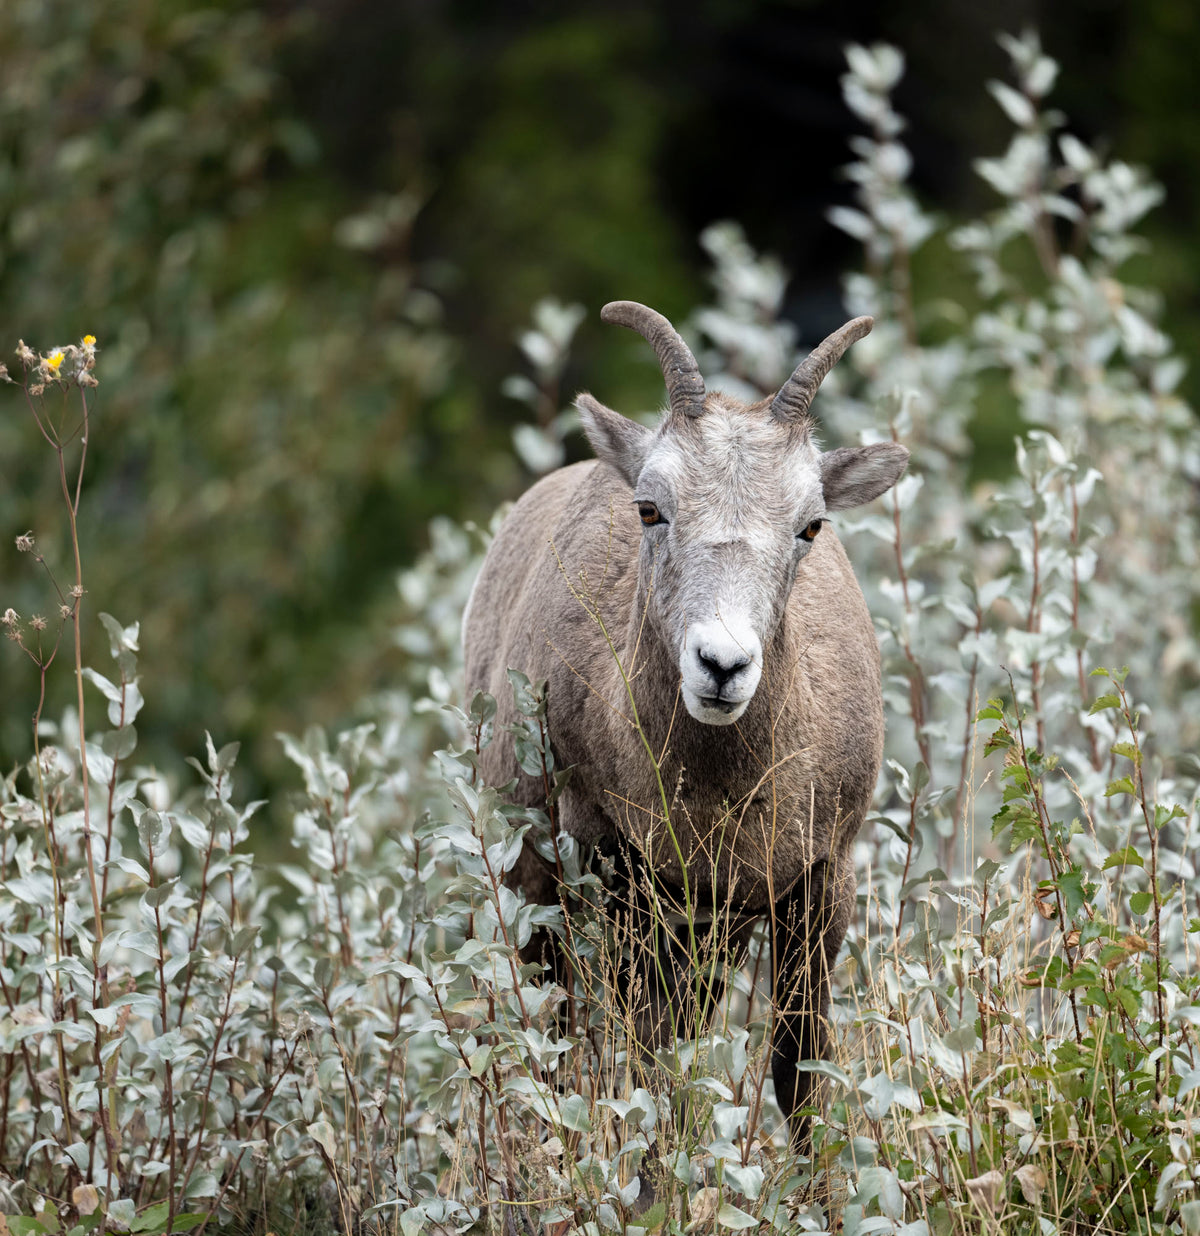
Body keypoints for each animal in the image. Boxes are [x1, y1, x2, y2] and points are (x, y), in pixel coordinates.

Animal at [462, 300, 908, 1142]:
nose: (721, 665)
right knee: (556, 1031)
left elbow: (798, 1074)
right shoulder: (620, 871)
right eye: (650, 507)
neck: (721, 796)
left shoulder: (816, 887)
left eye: (811, 526)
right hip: (538, 886)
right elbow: (644, 1066)